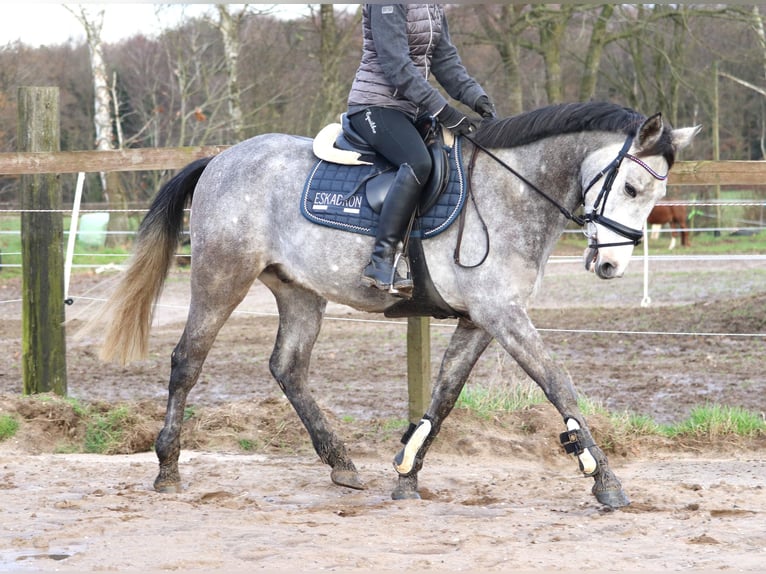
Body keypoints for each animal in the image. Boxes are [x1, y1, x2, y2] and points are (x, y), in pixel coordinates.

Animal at [93, 103, 700, 508]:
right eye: (629, 187)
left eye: (656, 194)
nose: (611, 266)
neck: (513, 192)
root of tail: (221, 158)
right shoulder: (502, 315)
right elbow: (558, 383)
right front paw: (603, 478)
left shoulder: (481, 321)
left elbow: (446, 394)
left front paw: (408, 471)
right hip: (222, 278)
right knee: (187, 362)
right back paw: (168, 468)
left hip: (299, 292)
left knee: (287, 367)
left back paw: (341, 464)